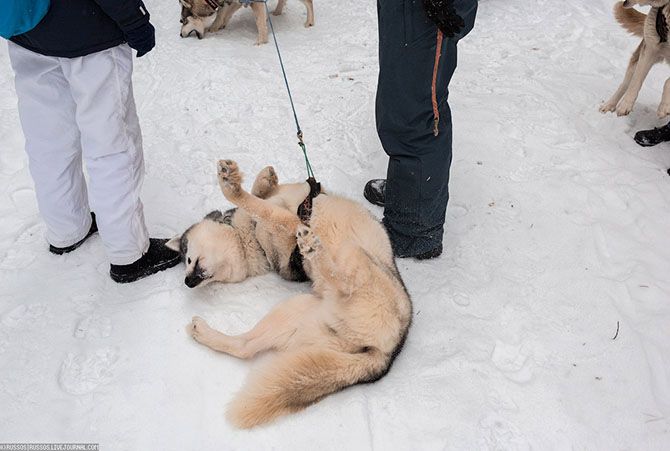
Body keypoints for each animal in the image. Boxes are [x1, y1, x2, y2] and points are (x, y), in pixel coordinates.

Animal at [178, 0, 316, 44]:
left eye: (183, 21)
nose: (180, 35)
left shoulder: (256, 3)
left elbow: (260, 22)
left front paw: (261, 42)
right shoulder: (235, 2)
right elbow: (223, 15)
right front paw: (216, 27)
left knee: (309, 2)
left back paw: (309, 22)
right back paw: (277, 11)